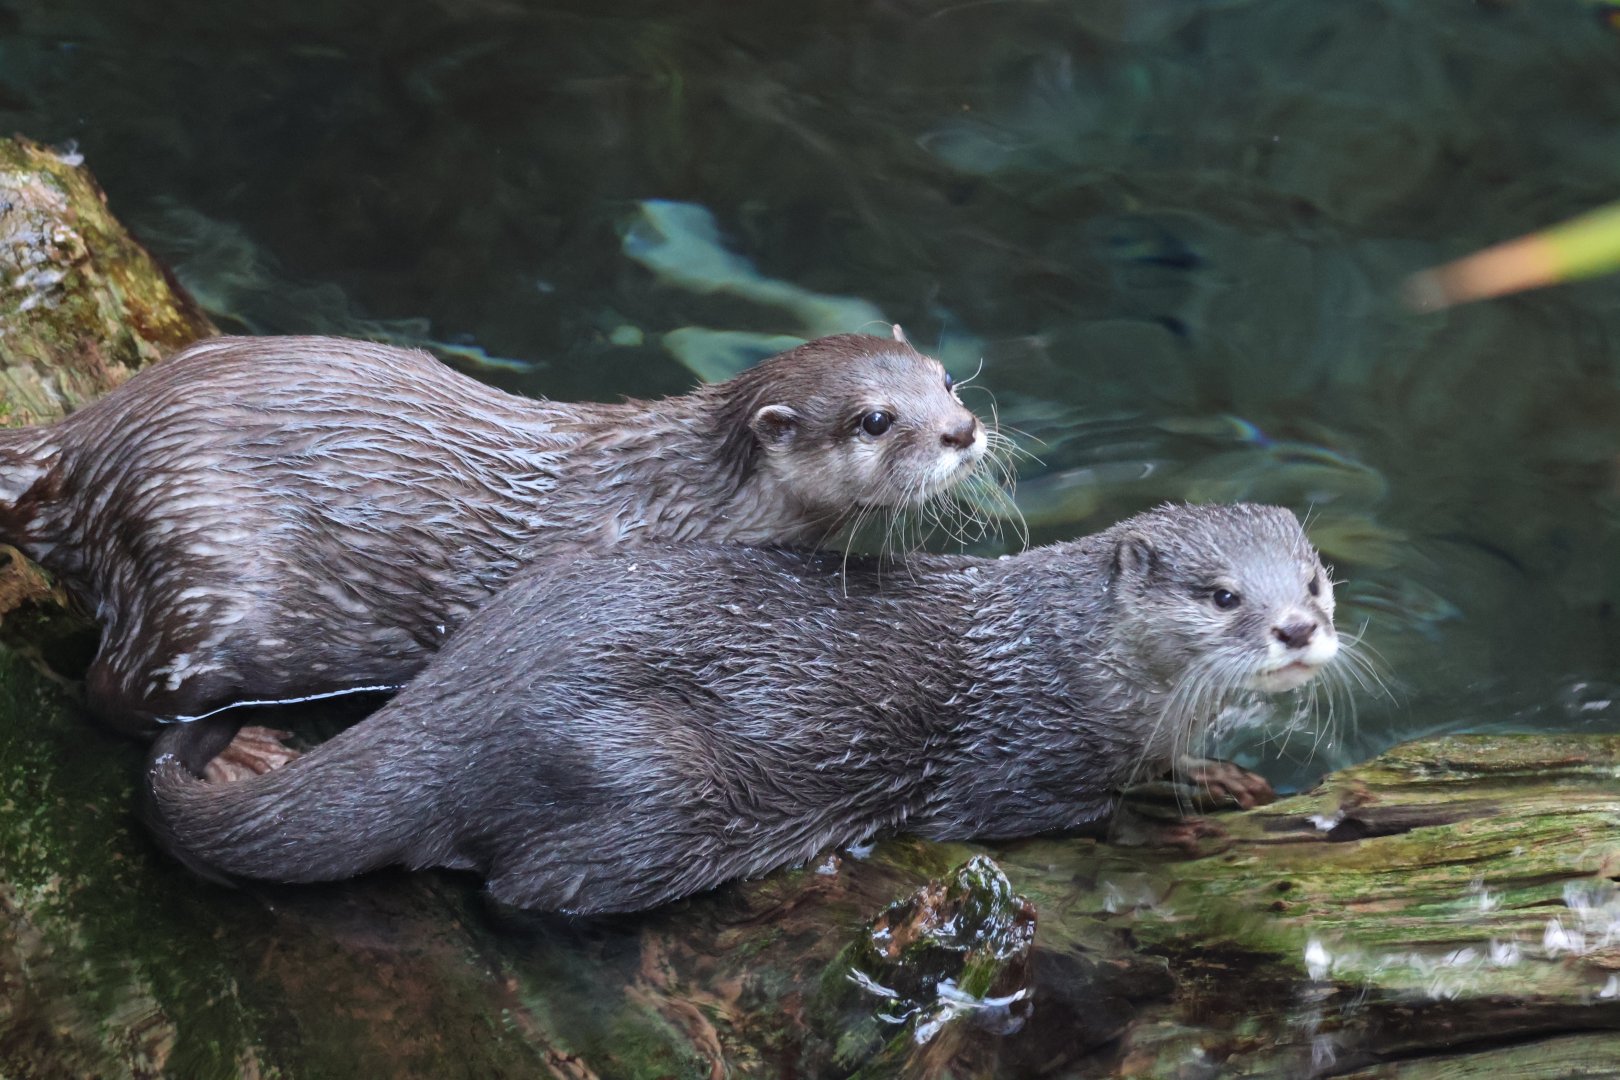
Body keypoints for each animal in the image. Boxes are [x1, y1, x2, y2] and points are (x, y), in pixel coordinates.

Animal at [0, 331, 988, 735]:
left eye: (945, 378)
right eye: (873, 419)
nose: (963, 430)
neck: (675, 500)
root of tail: (81, 446)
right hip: (201, 566)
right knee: (112, 691)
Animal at [146, 503, 1345, 915]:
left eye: (1317, 577)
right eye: (1222, 595)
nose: (1297, 630)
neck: (1064, 655)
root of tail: (460, 700)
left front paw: (1221, 773)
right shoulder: (1025, 754)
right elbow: (1077, 811)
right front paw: (1172, 806)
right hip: (643, 777)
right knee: (525, 886)